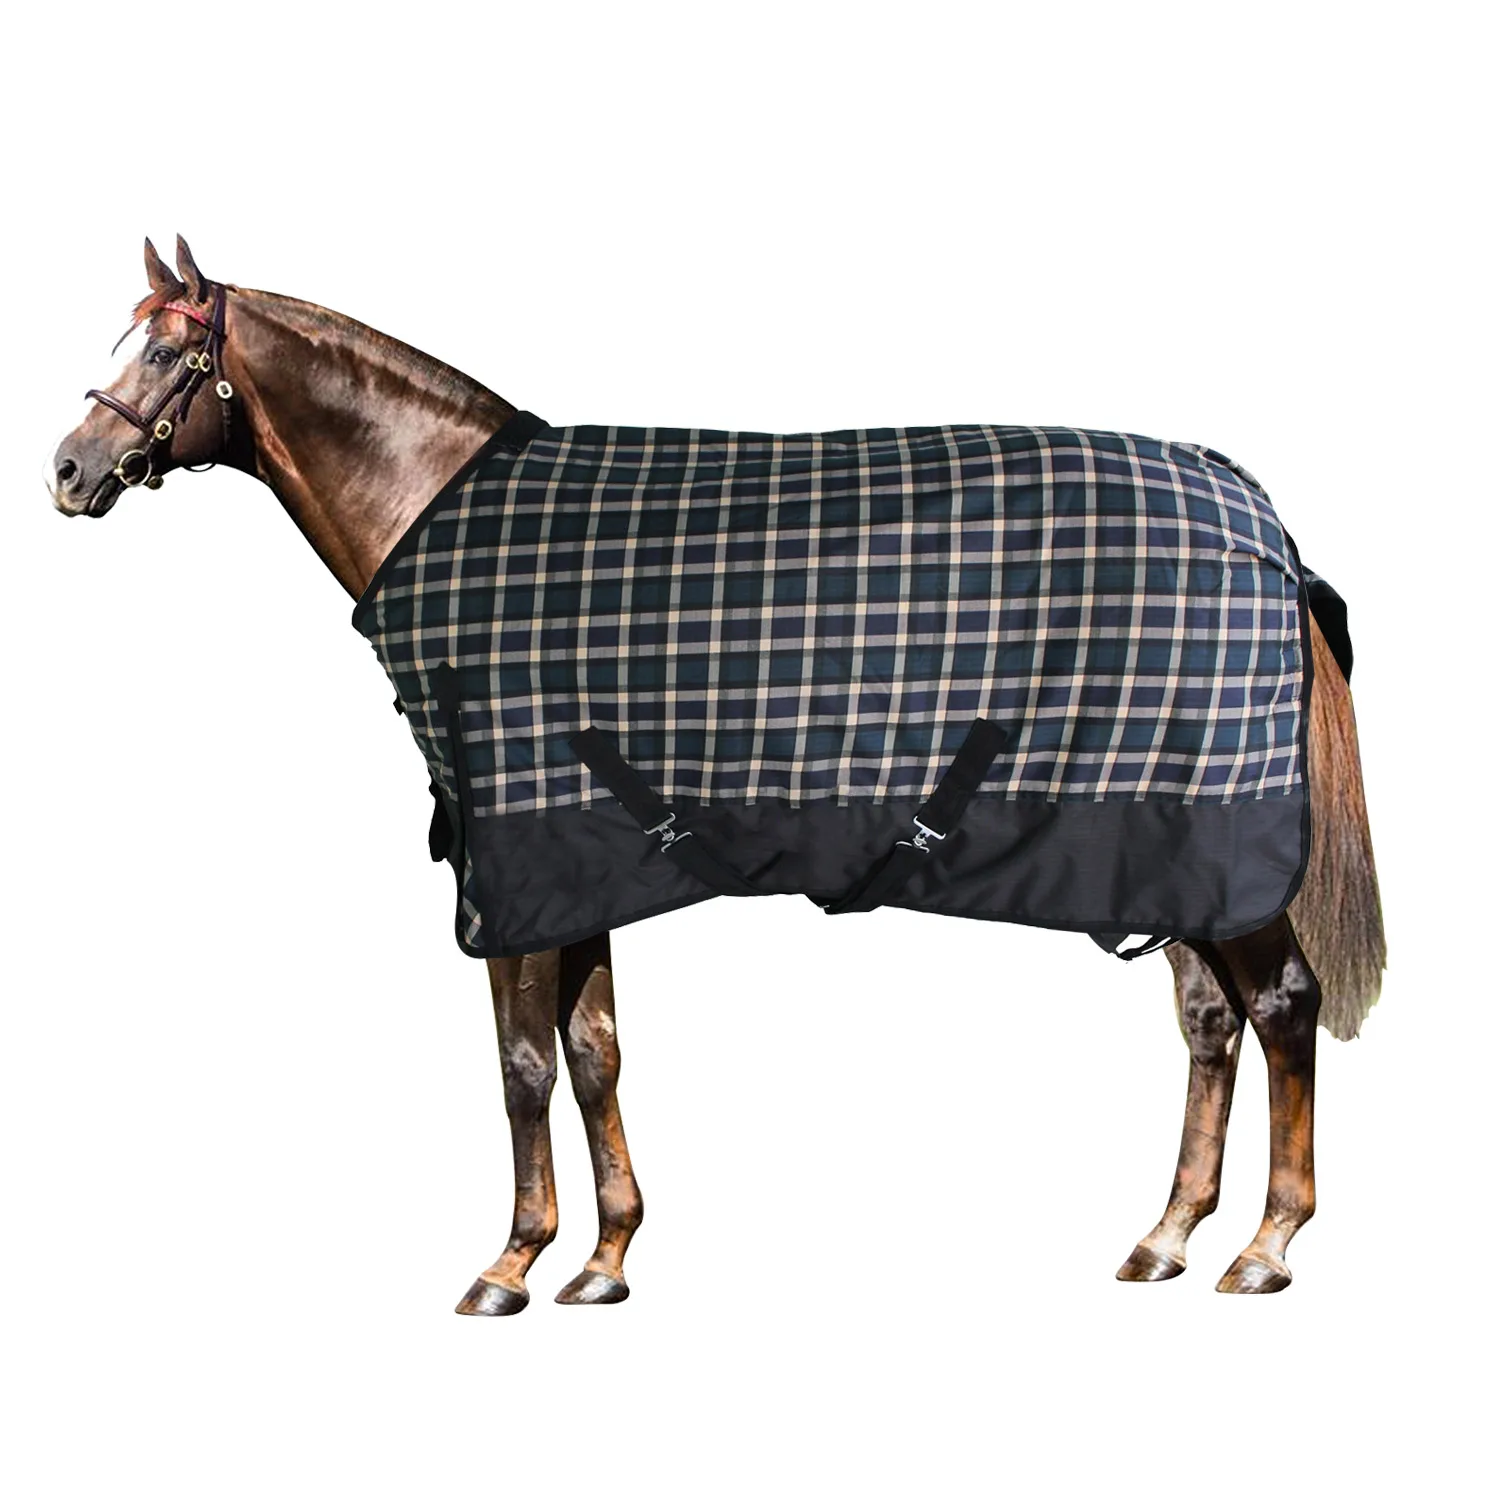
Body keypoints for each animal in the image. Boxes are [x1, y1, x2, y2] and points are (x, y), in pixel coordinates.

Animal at [49, 236, 1385, 1311]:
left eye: (168, 351)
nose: (66, 470)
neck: (454, 526)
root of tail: (1258, 519)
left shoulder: (516, 871)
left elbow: (523, 1064)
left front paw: (510, 1264)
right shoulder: (579, 865)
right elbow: (593, 1051)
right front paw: (603, 1259)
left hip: (1219, 850)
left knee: (1282, 1007)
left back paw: (1266, 1246)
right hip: (1162, 848)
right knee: (1210, 1021)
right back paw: (1166, 1237)